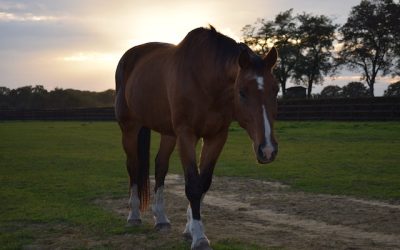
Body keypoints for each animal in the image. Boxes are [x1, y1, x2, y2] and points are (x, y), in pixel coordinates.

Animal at [115, 26, 278, 249]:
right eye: (242, 92)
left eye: (275, 90)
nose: (267, 150)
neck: (204, 79)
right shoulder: (186, 135)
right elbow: (193, 185)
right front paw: (199, 237)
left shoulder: (216, 136)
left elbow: (203, 183)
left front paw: (189, 229)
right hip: (130, 128)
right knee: (133, 166)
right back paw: (133, 216)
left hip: (168, 133)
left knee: (160, 166)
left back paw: (161, 219)